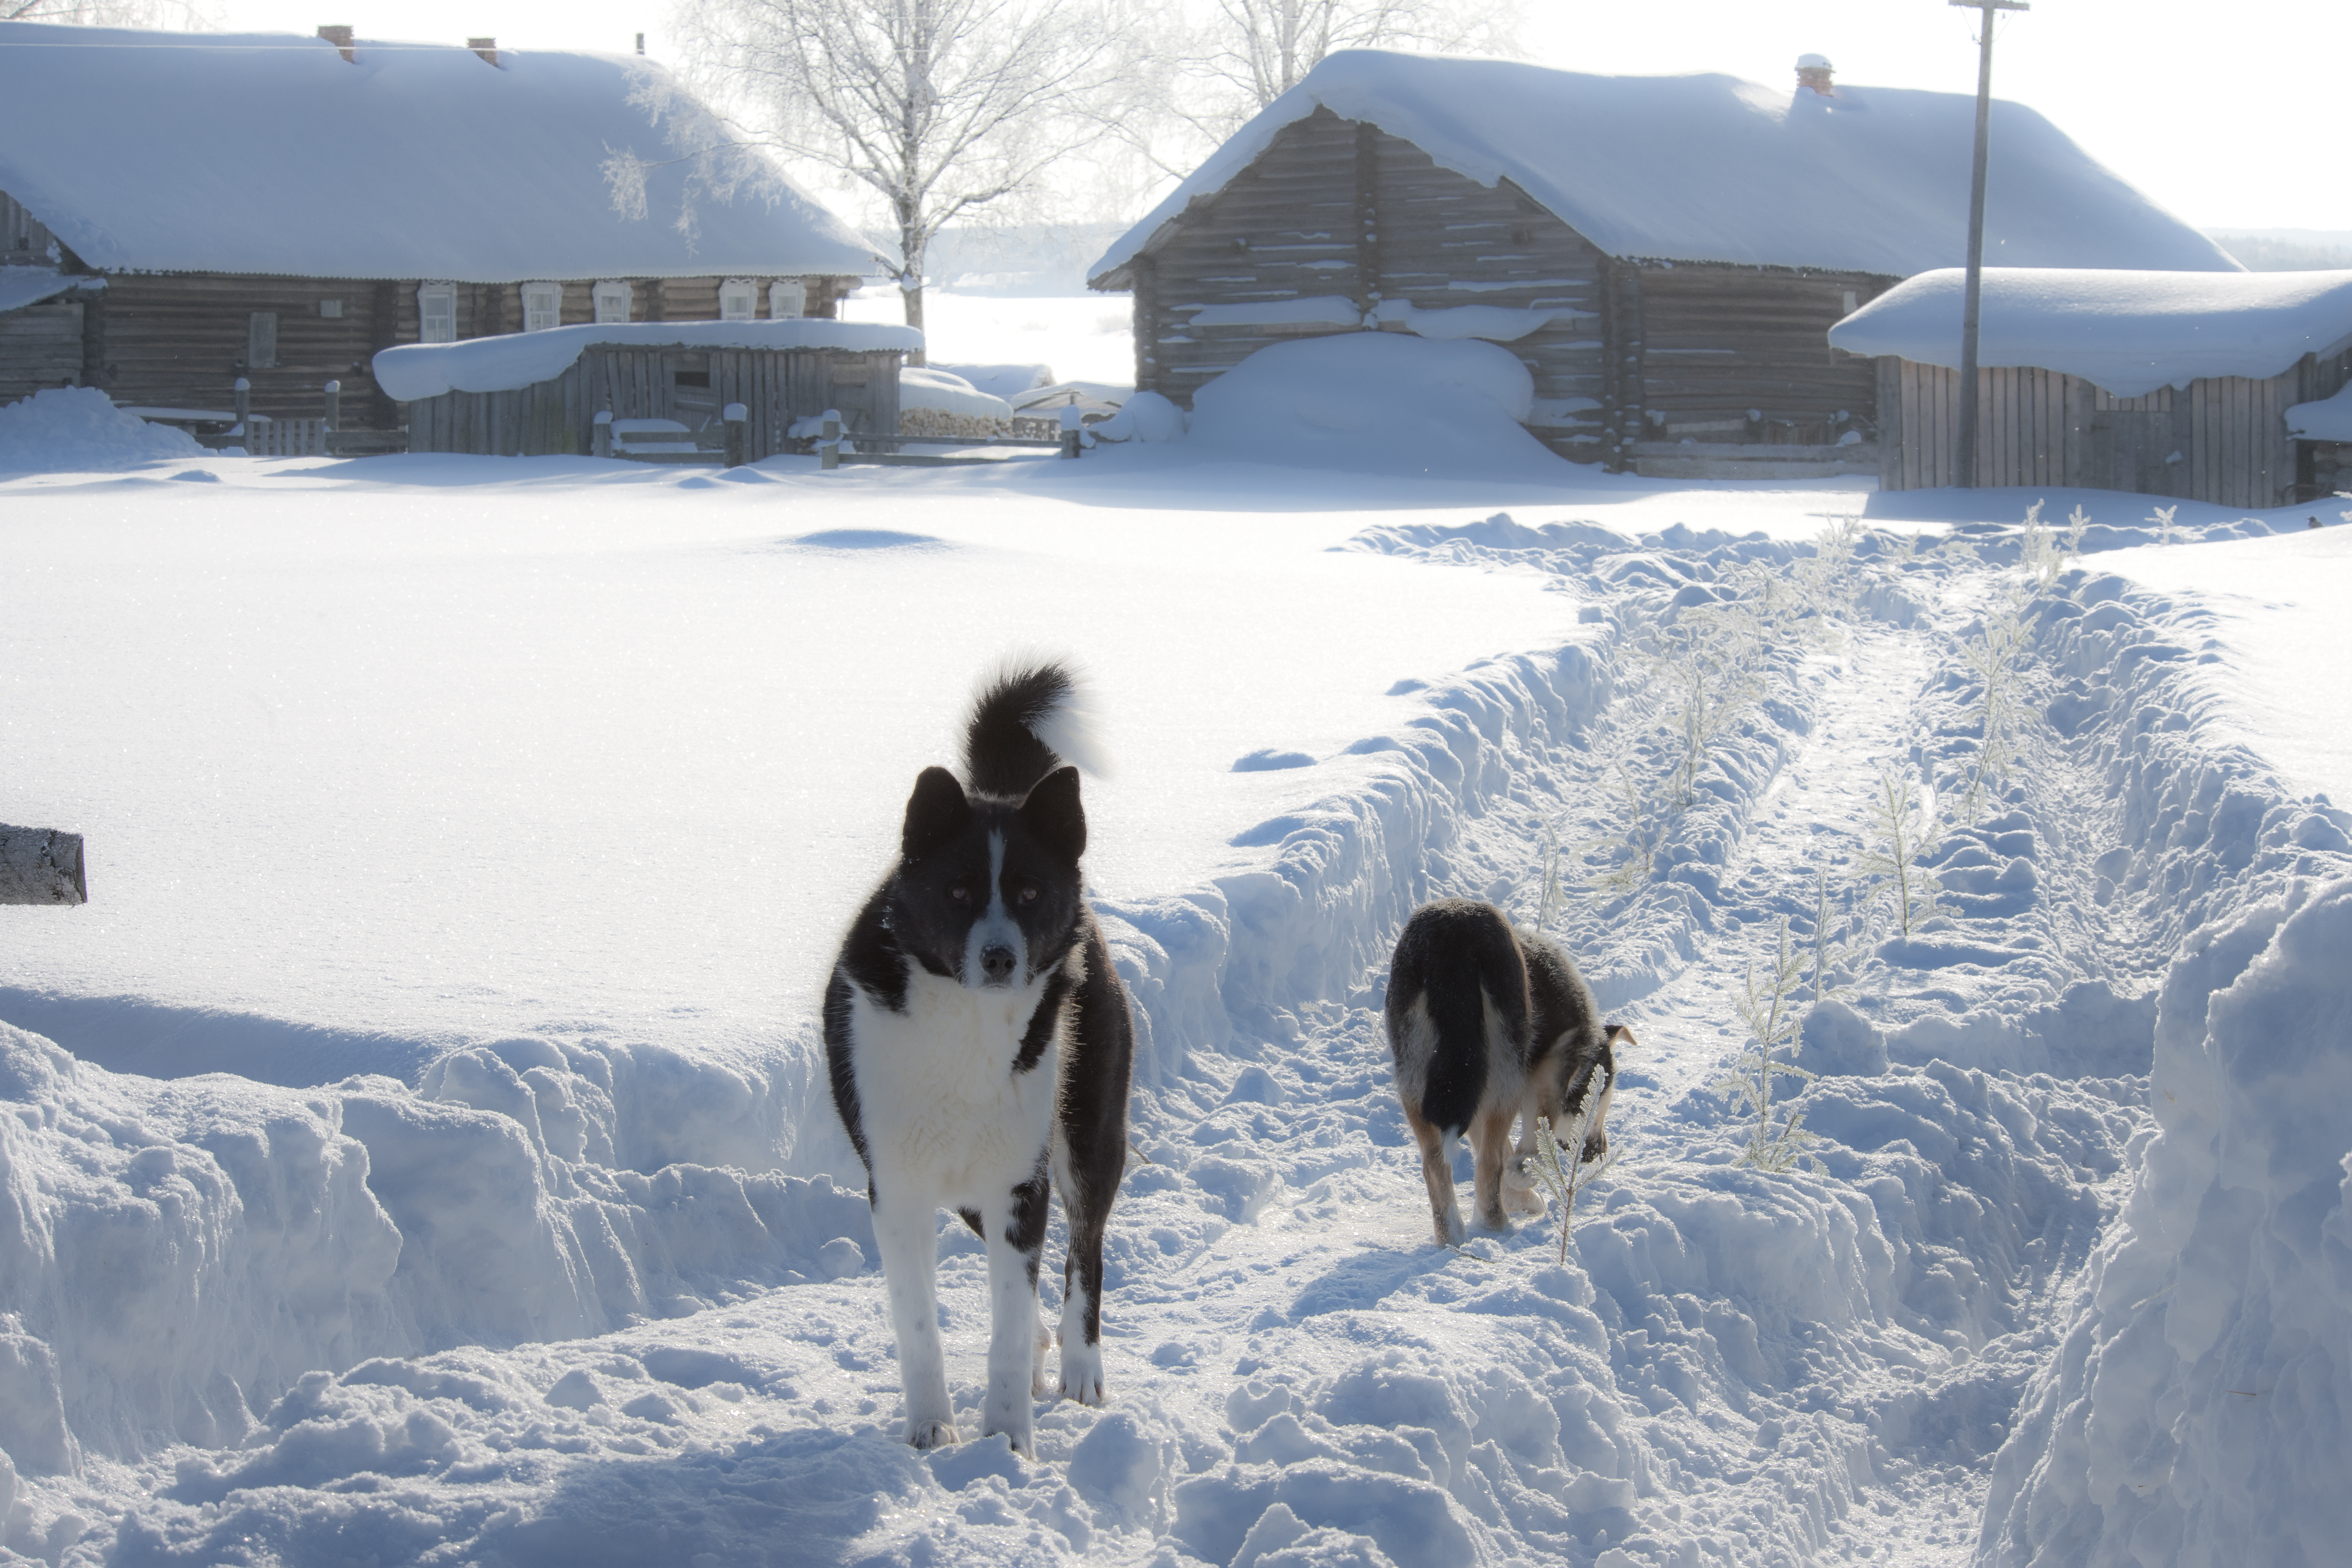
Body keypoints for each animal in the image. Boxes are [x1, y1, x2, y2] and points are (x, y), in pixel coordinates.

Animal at [823, 663, 1134, 1457]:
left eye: (1028, 892)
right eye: (959, 890)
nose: (998, 958)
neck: (964, 1024)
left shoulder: (1022, 1185)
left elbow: (1010, 1326)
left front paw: (1008, 1443)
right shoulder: (898, 1188)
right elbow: (919, 1327)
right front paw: (932, 1429)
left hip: (1085, 1136)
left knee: (1084, 1252)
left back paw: (1080, 1370)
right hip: (973, 1185)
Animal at [1374, 893, 1637, 1250]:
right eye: (1594, 1106)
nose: (1598, 1154)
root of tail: (1454, 929)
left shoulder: (1473, 1100)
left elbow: (1502, 1150)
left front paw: (1520, 1198)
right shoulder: (1536, 1087)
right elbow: (1524, 1153)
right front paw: (1524, 1185)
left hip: (1417, 1079)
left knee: (1436, 1164)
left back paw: (1452, 1240)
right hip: (1504, 1077)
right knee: (1489, 1165)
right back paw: (1496, 1229)